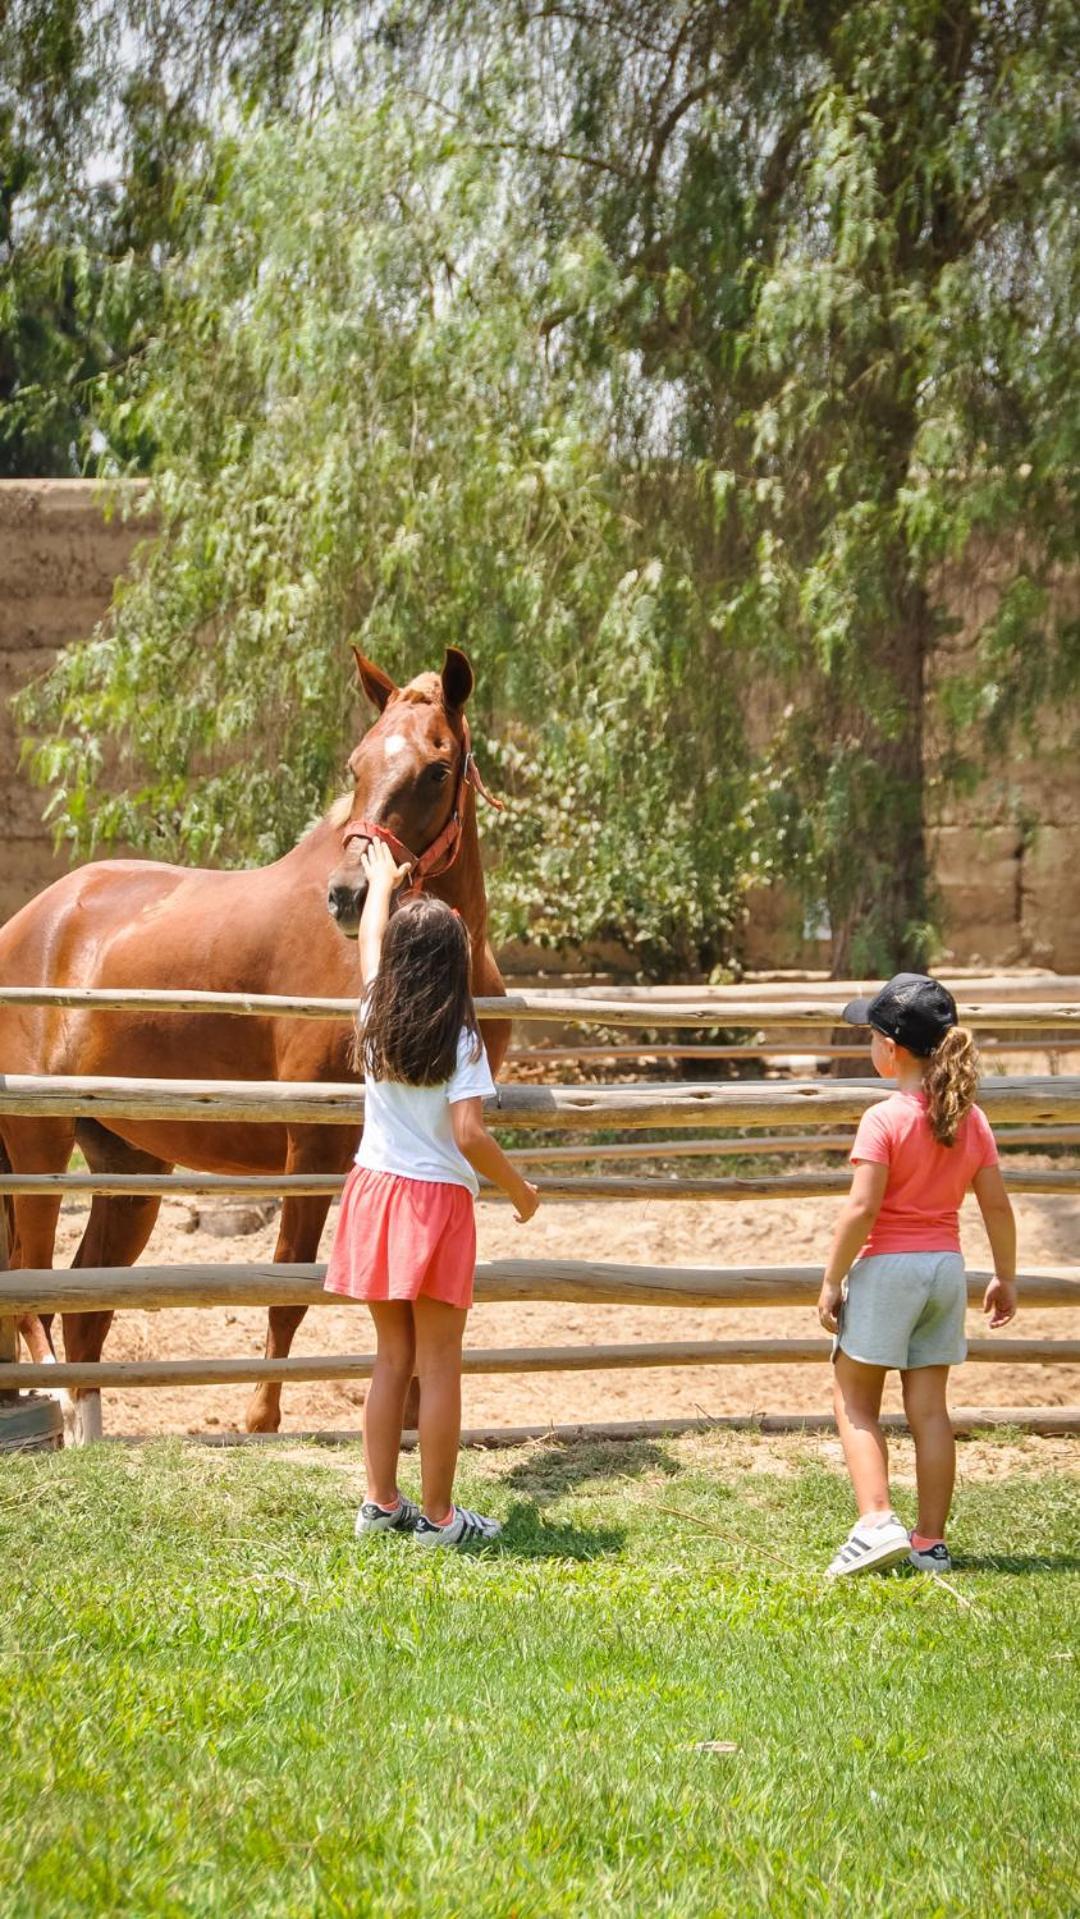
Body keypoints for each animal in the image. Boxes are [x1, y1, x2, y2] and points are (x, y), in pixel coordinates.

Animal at [0, 648, 510, 1443]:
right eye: (357, 764)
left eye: (436, 768)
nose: (347, 896)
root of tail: (31, 921)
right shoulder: (315, 1149)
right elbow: (288, 1290)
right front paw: (261, 1418)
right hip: (37, 1150)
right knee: (33, 1293)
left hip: (129, 1167)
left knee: (86, 1311)